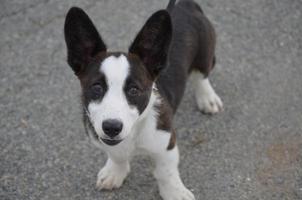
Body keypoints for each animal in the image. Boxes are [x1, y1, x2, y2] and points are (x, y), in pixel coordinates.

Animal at [64, 0, 222, 200]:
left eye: (134, 90)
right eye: (97, 87)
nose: (112, 127)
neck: (135, 131)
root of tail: (183, 4)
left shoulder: (167, 143)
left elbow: (166, 172)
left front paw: (174, 192)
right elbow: (116, 155)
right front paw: (115, 172)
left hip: (204, 54)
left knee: (201, 76)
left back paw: (208, 99)